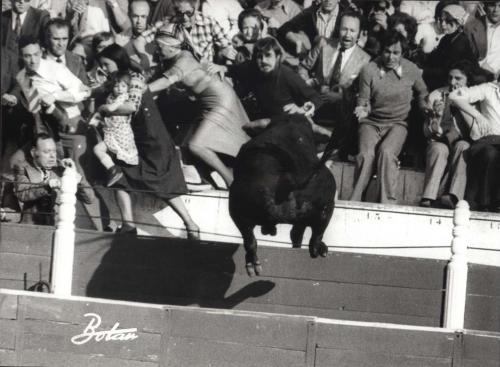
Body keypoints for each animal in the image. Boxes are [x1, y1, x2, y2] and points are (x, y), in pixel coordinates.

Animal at [229, 115, 336, 276]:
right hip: (326, 207)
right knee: (309, 235)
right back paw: (319, 248)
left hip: (237, 206)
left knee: (250, 240)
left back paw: (252, 264)